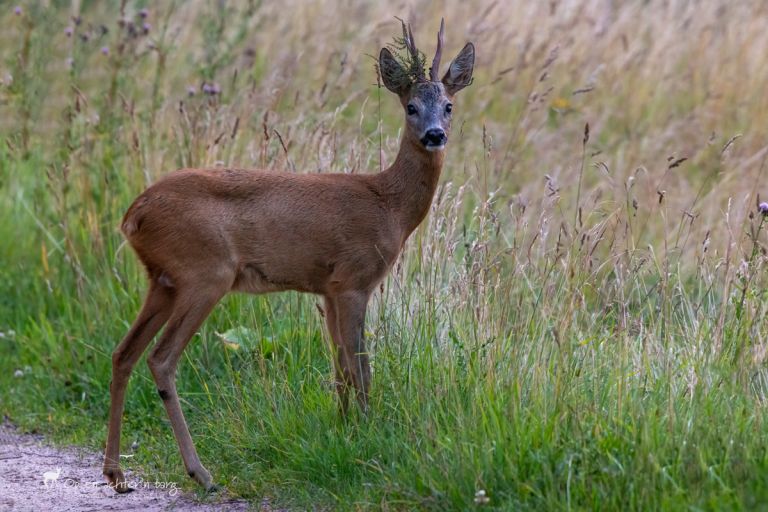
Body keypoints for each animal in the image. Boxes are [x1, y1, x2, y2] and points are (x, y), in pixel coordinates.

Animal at [103, 19, 474, 492]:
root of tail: (132, 215)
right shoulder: (354, 279)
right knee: (161, 358)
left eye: (448, 105)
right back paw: (201, 472)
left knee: (124, 353)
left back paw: (115, 471)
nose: (435, 135)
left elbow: (340, 368)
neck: (388, 205)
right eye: (410, 107)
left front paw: (343, 429)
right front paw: (368, 433)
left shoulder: (328, 289)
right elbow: (361, 368)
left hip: (162, 280)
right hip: (205, 273)